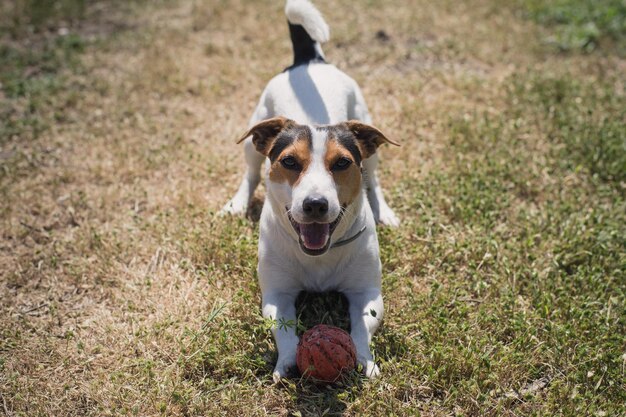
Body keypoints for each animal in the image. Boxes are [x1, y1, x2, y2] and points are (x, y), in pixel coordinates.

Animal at [222, 0, 398, 382]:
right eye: (289, 161)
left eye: (343, 163)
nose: (315, 204)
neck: (320, 255)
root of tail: (310, 61)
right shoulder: (277, 294)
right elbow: (284, 328)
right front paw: (287, 360)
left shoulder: (367, 293)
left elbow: (361, 327)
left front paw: (365, 359)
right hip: (253, 136)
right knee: (251, 173)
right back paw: (237, 203)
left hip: (369, 136)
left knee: (374, 179)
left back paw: (386, 211)